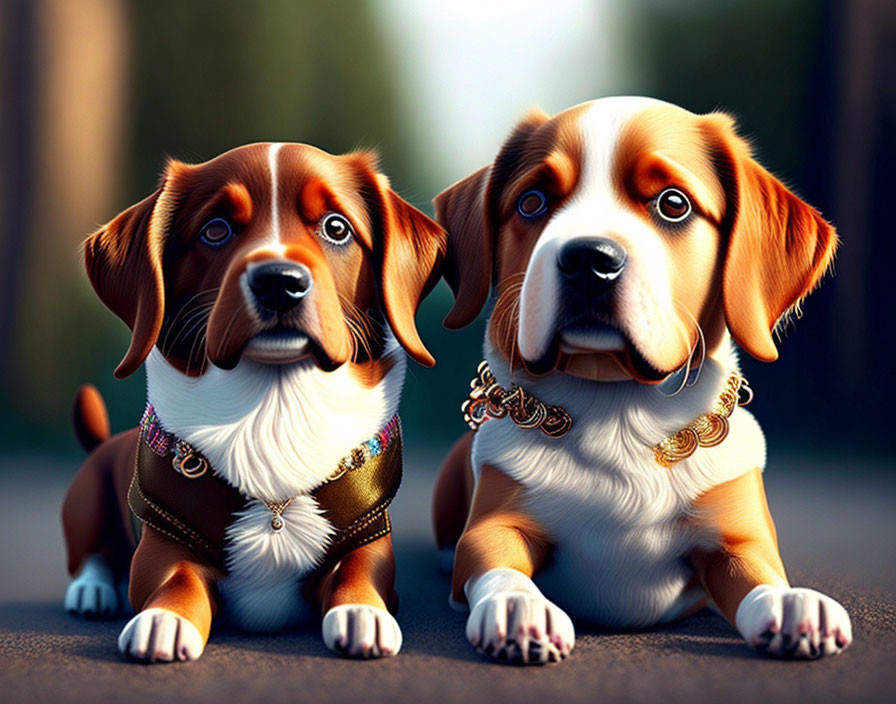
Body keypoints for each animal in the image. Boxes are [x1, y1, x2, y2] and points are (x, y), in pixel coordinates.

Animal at [61, 142, 446, 660]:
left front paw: (362, 613)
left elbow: (359, 573)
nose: (279, 281)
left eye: (336, 228)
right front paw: (164, 620)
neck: (273, 411)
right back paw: (91, 590)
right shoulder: (162, 545)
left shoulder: (367, 539)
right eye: (216, 229)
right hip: (86, 501)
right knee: (92, 556)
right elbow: (176, 581)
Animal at [430, 96, 852, 664]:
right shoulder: (492, 527)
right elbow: (495, 562)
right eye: (533, 202)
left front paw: (788, 604)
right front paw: (520, 606)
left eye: (673, 204)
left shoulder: (740, 540)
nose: (588, 259)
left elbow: (761, 573)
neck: (617, 408)